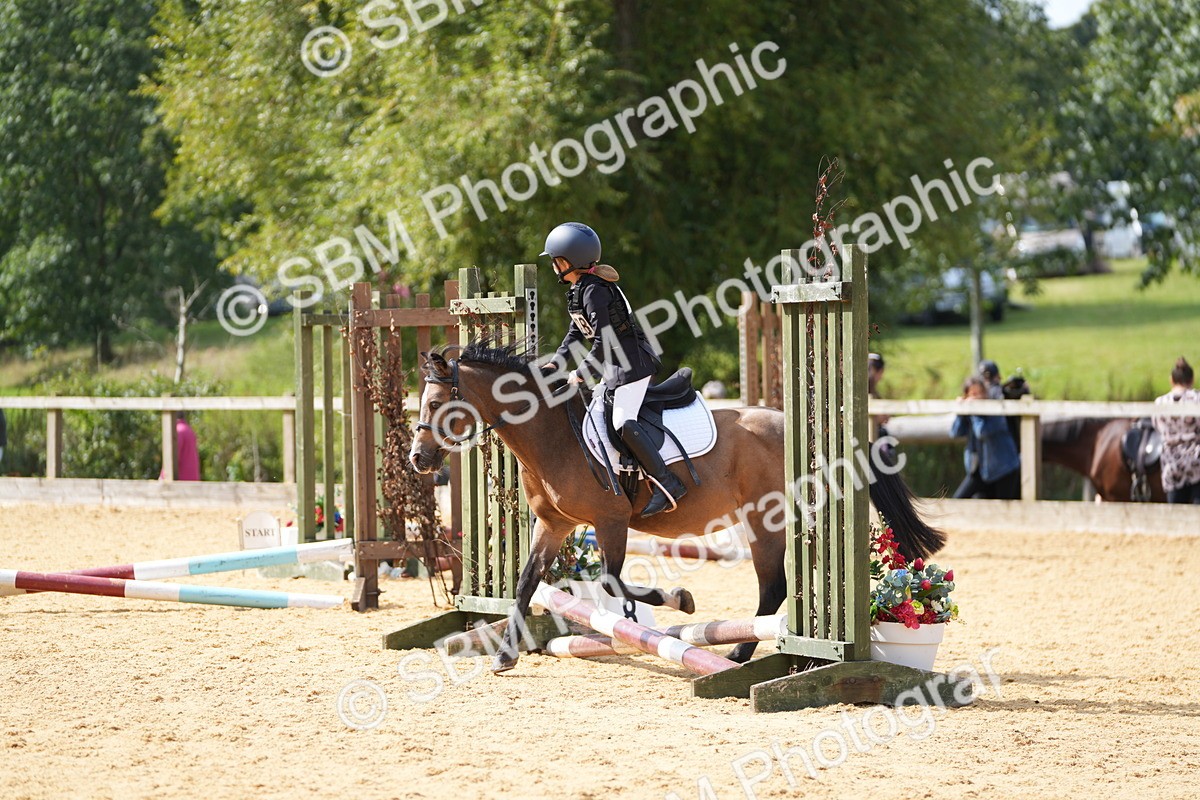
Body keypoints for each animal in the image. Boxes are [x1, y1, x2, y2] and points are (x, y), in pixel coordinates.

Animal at [408, 342, 945, 673]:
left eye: (437, 404)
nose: (417, 459)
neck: (551, 436)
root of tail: (806, 430)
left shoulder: (611, 520)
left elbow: (612, 581)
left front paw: (679, 599)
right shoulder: (554, 525)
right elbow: (525, 584)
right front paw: (505, 656)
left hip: (766, 520)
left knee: (774, 587)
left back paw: (740, 653)